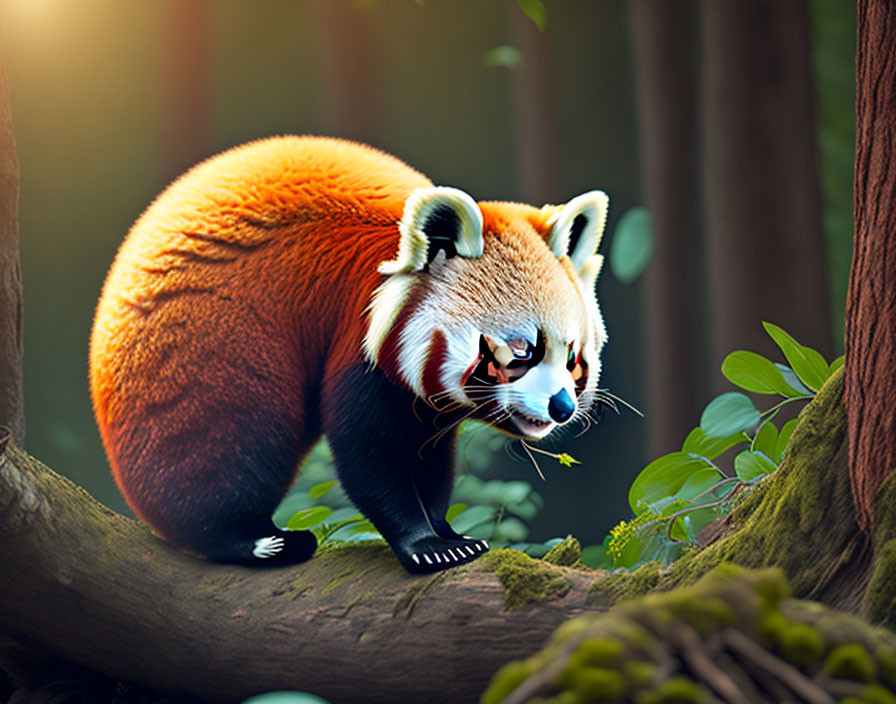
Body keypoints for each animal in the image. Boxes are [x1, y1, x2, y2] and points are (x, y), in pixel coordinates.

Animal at [89, 136, 608, 572]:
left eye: (572, 356)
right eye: (523, 350)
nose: (562, 406)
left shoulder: (423, 404)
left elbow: (430, 459)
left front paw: (448, 531)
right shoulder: (357, 346)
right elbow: (370, 454)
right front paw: (425, 544)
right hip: (209, 342)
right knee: (234, 437)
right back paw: (253, 541)